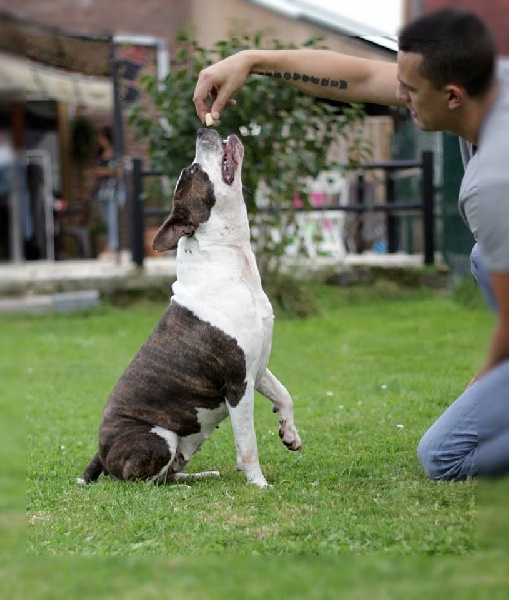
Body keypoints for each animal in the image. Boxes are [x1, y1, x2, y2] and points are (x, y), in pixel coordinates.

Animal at [80, 126, 302, 488]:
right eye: (193, 171)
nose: (204, 129)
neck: (232, 260)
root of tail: (100, 455)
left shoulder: (257, 367)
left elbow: (284, 394)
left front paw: (289, 433)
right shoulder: (237, 384)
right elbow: (247, 443)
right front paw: (259, 484)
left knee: (169, 473)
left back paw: (201, 475)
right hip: (158, 438)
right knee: (143, 482)